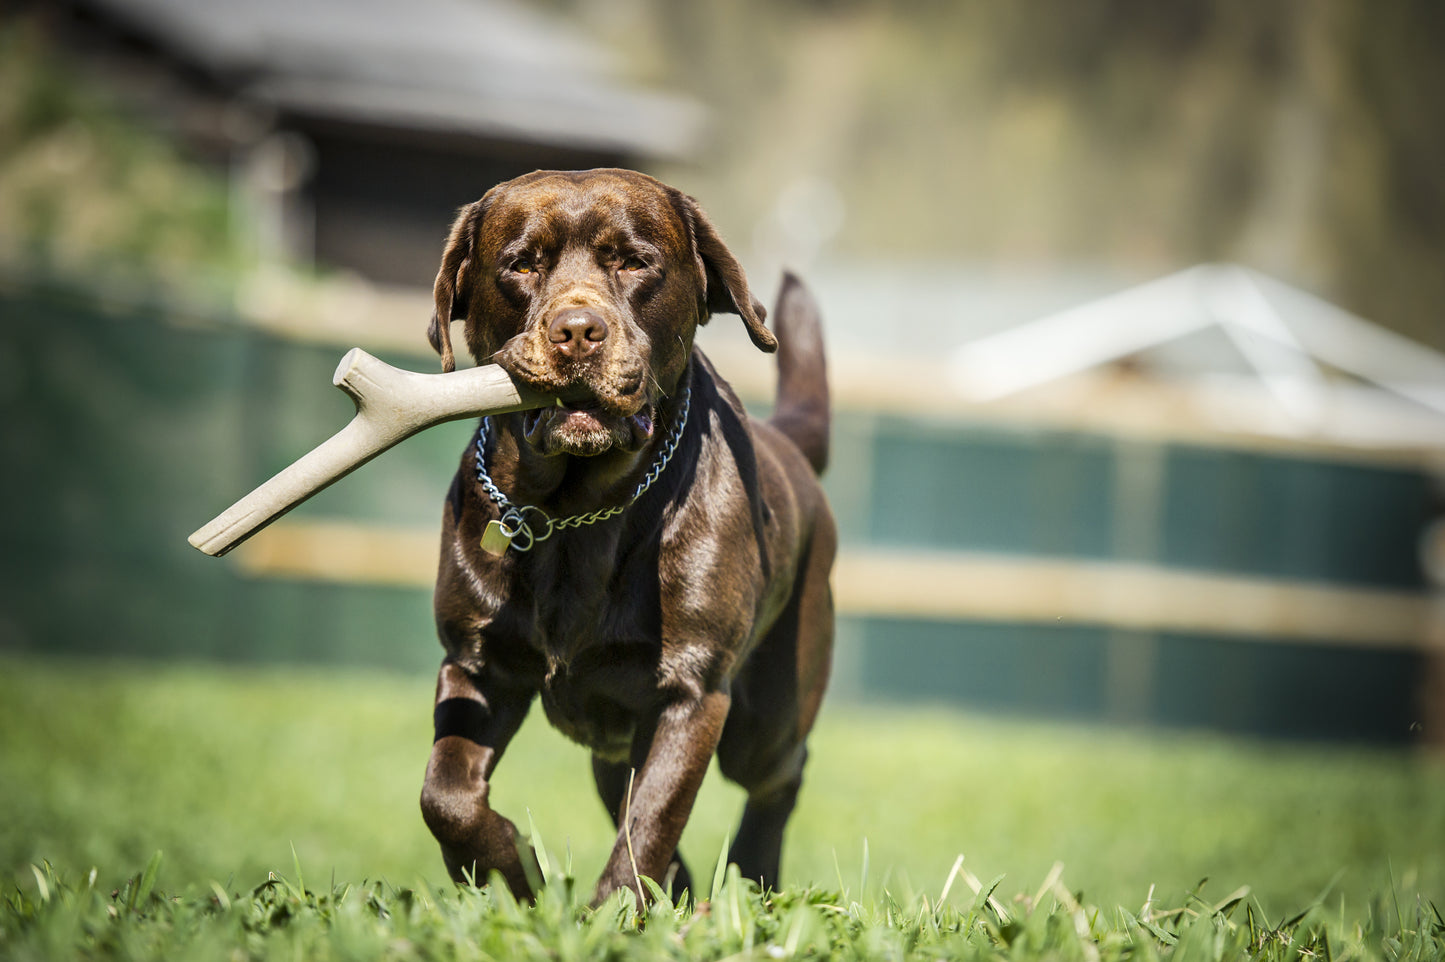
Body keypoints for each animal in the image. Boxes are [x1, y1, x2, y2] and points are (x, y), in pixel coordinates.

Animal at [419, 168, 838, 901]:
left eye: (634, 262)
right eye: (522, 265)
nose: (578, 331)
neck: (573, 515)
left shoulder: (690, 694)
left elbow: (648, 827)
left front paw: (608, 915)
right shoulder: (476, 663)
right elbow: (446, 797)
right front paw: (514, 870)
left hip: (766, 714)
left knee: (779, 774)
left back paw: (752, 872)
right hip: (610, 746)